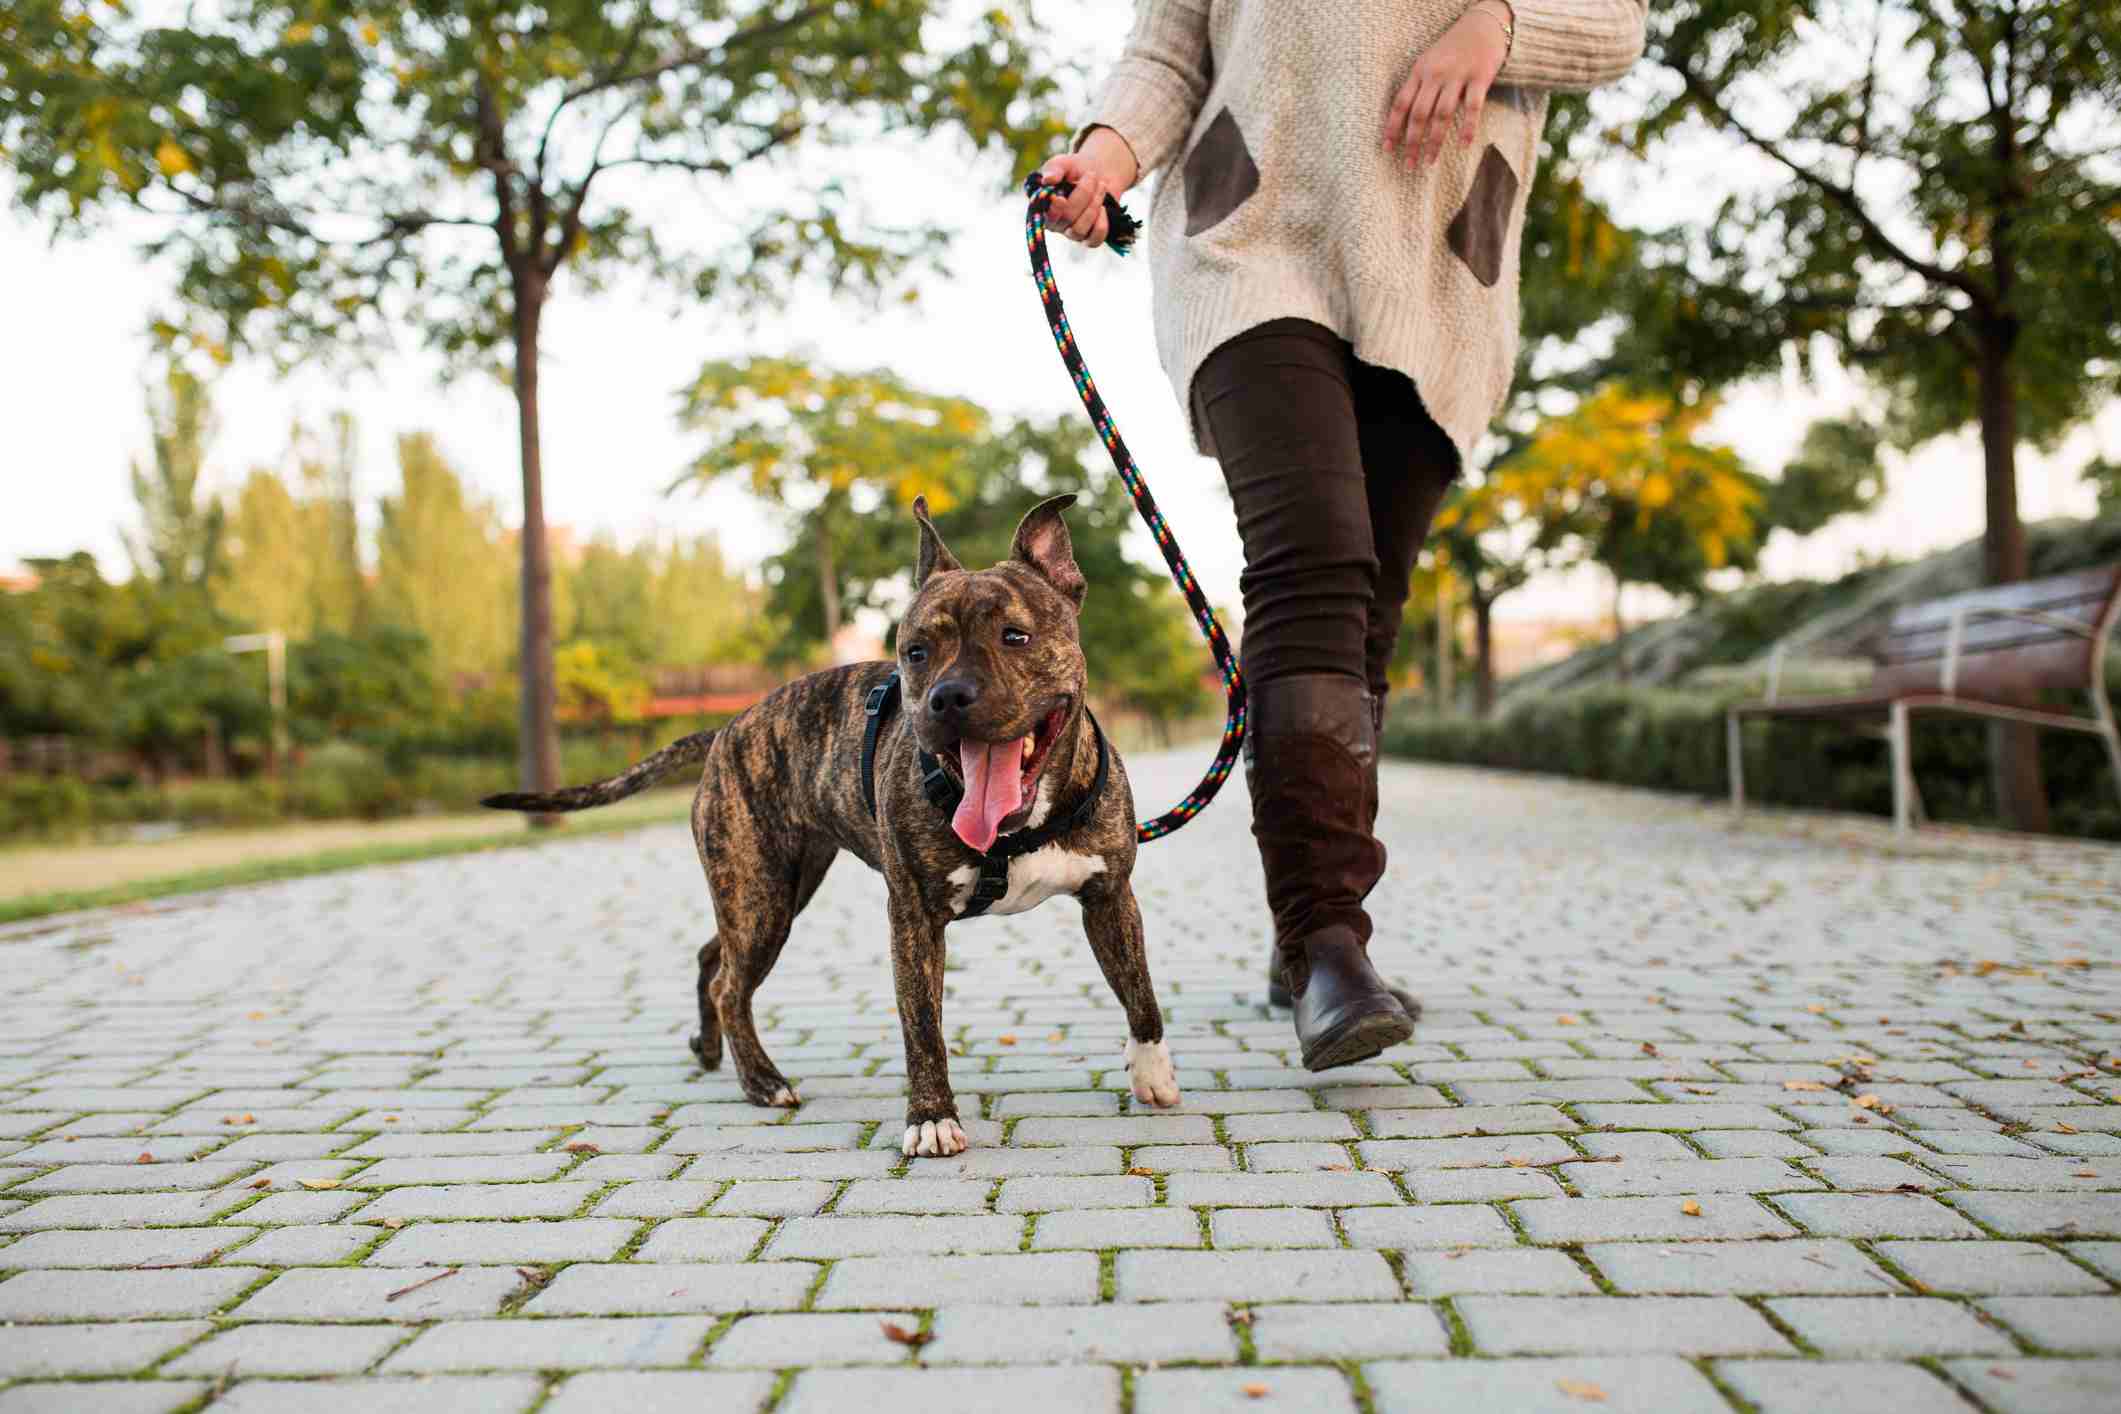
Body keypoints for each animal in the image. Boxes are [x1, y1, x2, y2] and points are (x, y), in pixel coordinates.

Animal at [483, 498, 1187, 1161]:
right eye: (915, 652)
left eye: (1015, 636)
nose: (948, 696)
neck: (1020, 825)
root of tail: (727, 728)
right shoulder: (914, 919)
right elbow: (922, 1028)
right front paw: (932, 1120)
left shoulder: (1110, 897)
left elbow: (1141, 991)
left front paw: (1151, 1073)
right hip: (761, 896)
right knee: (730, 982)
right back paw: (762, 1081)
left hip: (772, 890)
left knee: (714, 956)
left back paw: (710, 1048)